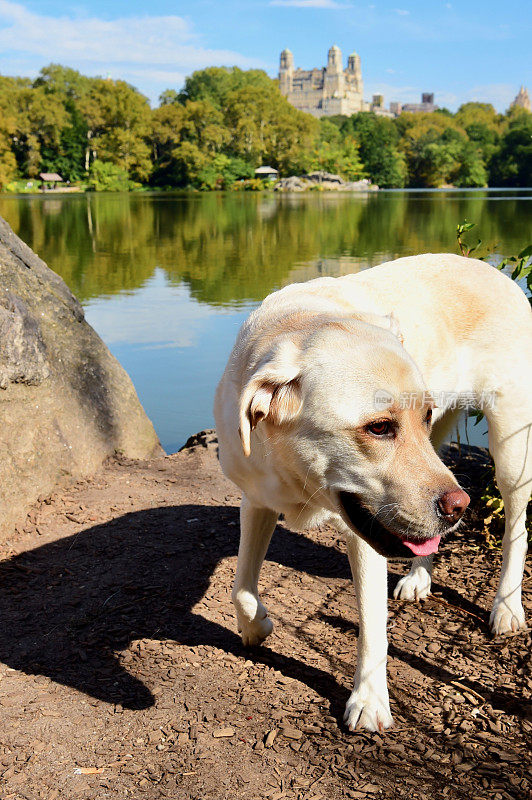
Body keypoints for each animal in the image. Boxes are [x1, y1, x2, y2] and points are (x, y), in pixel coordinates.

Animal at [213, 255, 532, 732]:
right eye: (380, 427)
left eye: (421, 413)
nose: (460, 508)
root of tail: (490, 270)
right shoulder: (257, 500)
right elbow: (241, 588)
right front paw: (255, 627)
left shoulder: (364, 537)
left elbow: (373, 628)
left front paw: (368, 700)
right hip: (439, 455)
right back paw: (420, 576)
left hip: (507, 446)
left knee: (517, 527)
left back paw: (507, 606)